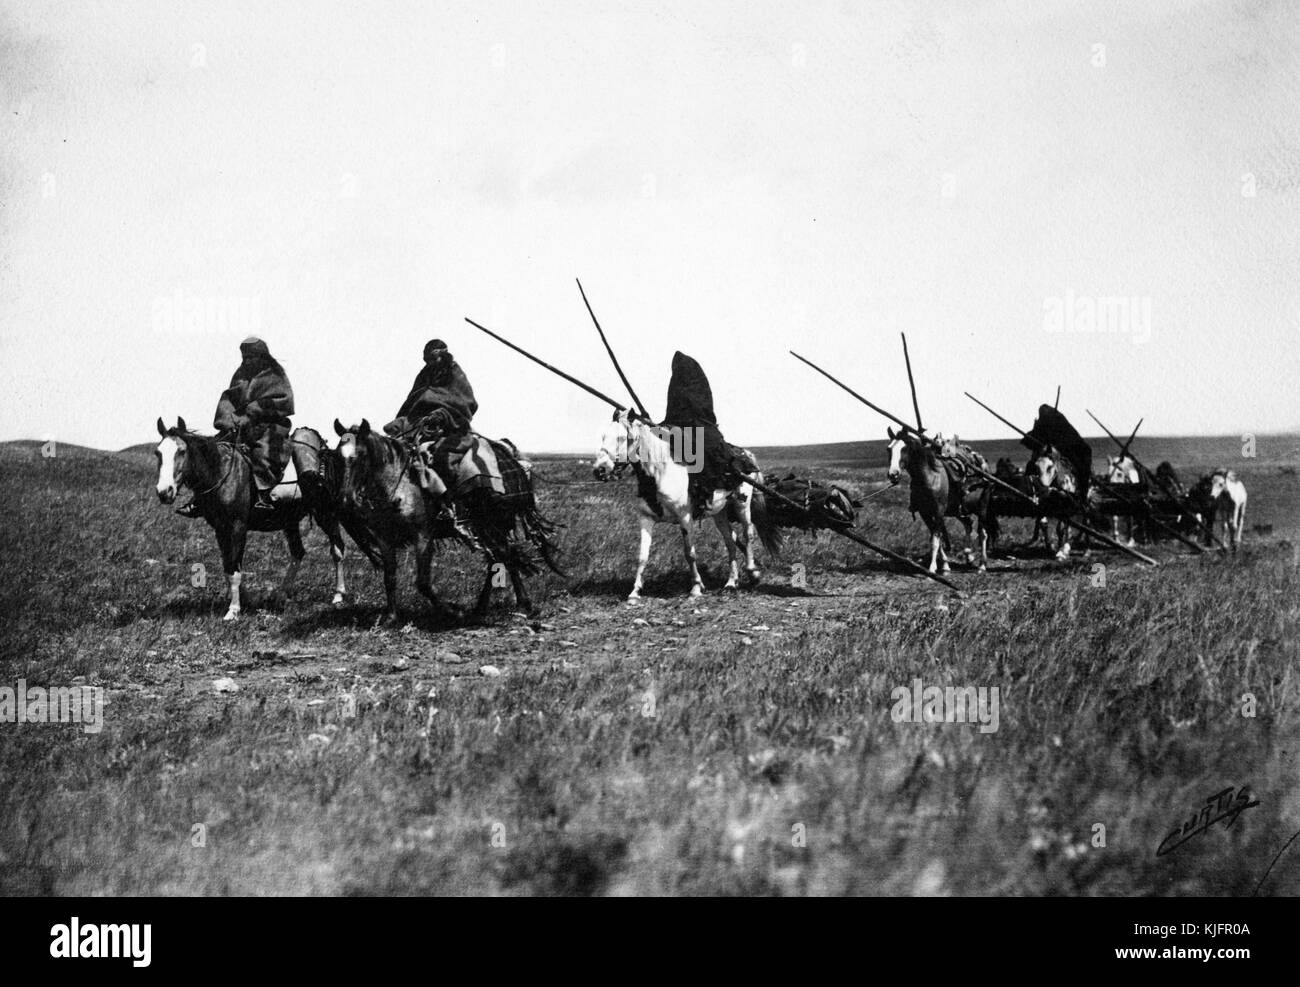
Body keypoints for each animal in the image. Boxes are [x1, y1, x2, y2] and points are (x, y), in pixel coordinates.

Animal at [332, 418, 561, 621]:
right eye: (337, 457)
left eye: (361, 456)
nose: (345, 500)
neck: (399, 487)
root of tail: (512, 459)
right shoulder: (384, 539)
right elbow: (389, 577)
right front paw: (391, 617)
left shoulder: (423, 536)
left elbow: (423, 583)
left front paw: (452, 611)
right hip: (488, 528)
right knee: (500, 556)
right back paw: (484, 608)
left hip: (496, 523)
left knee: (505, 555)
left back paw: (520, 605)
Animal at [592, 410, 780, 603]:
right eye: (603, 437)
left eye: (622, 438)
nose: (599, 470)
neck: (661, 472)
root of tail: (746, 453)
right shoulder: (646, 519)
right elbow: (642, 556)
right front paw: (635, 591)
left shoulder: (685, 517)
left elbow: (690, 553)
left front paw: (696, 587)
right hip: (719, 513)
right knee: (730, 541)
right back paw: (731, 583)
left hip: (742, 505)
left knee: (748, 534)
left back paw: (752, 572)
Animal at [883, 429, 993, 574]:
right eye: (889, 449)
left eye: (905, 448)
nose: (893, 474)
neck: (930, 477)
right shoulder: (925, 513)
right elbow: (937, 538)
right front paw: (945, 566)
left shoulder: (938, 511)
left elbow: (936, 539)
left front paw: (932, 568)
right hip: (958, 511)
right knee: (968, 524)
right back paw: (968, 556)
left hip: (982, 508)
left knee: (983, 533)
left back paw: (982, 565)